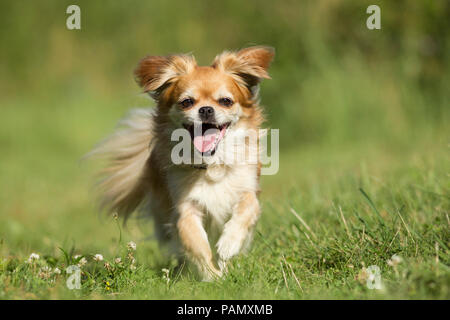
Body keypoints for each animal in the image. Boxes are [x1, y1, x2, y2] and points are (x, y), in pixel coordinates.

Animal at [91, 45, 274, 280]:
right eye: (187, 102)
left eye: (226, 101)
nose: (206, 109)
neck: (211, 164)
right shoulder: (185, 210)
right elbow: (198, 246)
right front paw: (212, 278)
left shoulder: (247, 190)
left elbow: (246, 210)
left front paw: (229, 244)